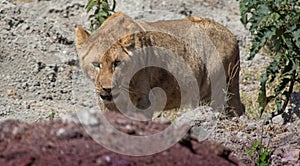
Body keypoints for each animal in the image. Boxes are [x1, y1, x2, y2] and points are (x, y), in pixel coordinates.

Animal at [75, 12, 244, 116]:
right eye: (96, 64)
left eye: (117, 63)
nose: (107, 88)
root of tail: (232, 36)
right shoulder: (107, 103)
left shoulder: (144, 101)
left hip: (215, 88)